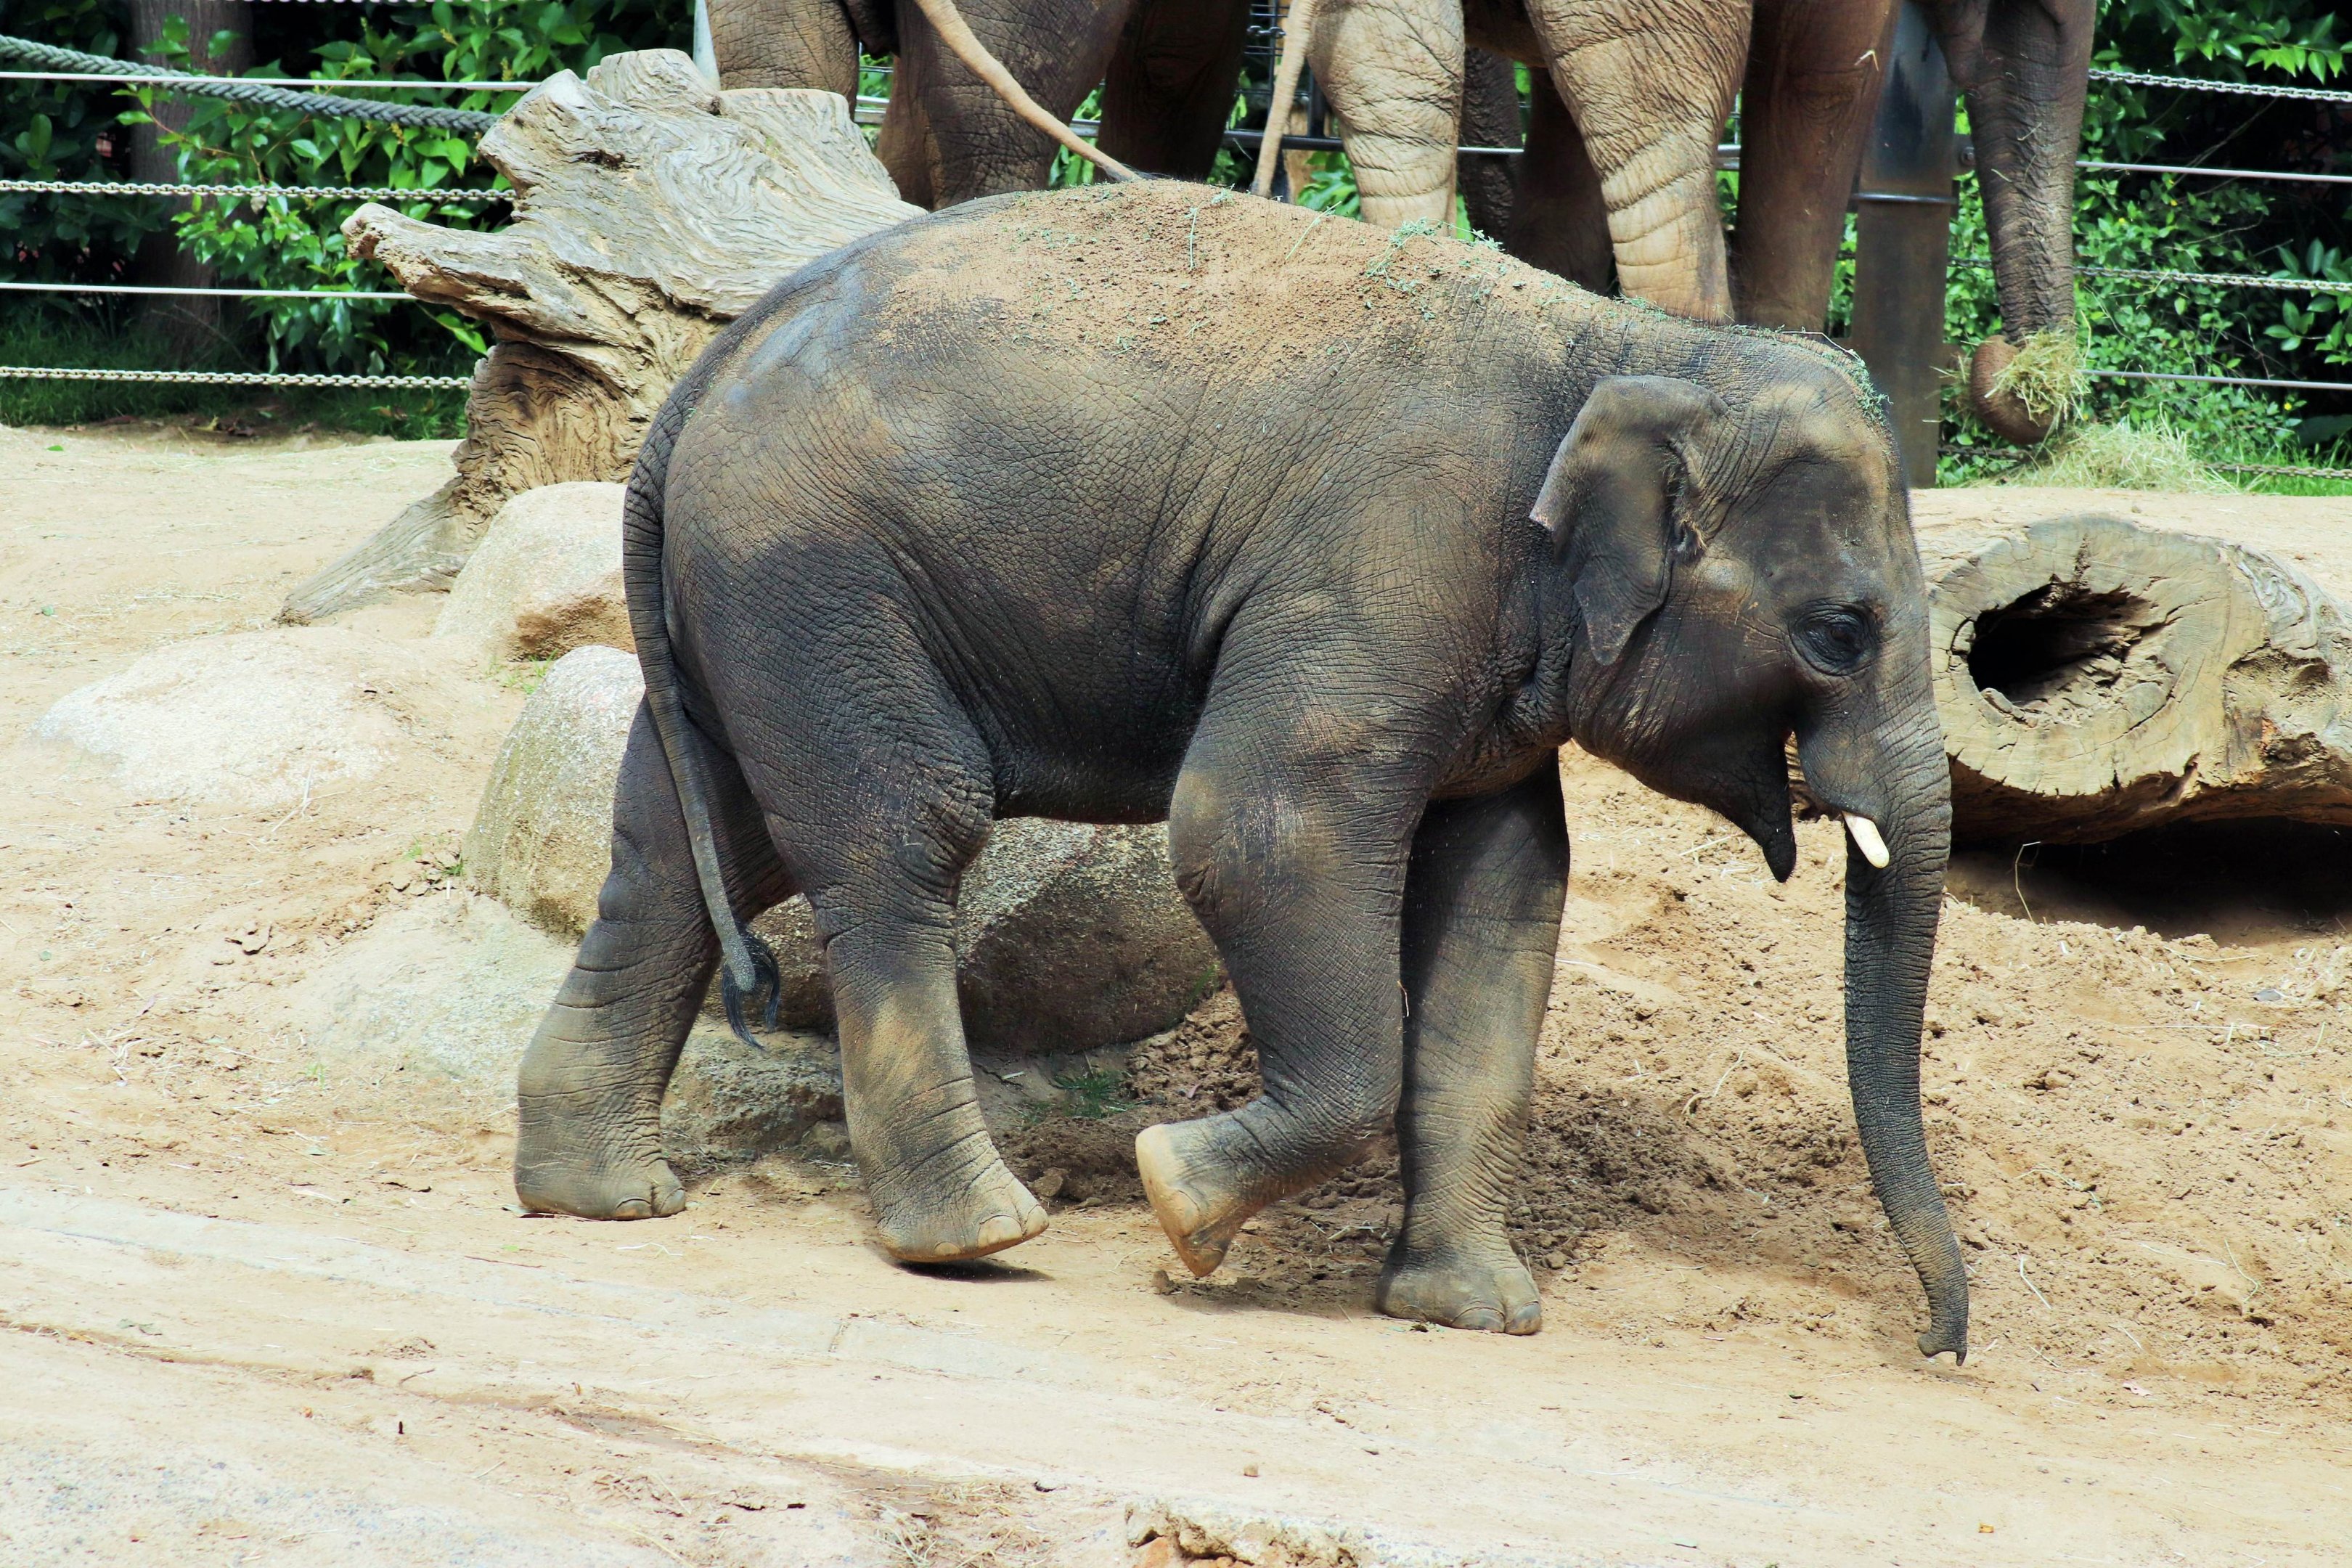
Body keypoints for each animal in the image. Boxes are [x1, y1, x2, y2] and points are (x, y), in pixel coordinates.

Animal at [510, 180, 1970, 1357]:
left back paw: (599, 1197)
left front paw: (1473, 1316)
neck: (1637, 347)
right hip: (819, 586)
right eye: (1841, 634)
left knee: (682, 844)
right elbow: (1256, 832)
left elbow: (1506, 893)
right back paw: (980, 1238)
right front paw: (1174, 1197)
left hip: (750, 615)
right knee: (898, 832)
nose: (1935, 1344)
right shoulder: (1393, 563)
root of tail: (698, 381)